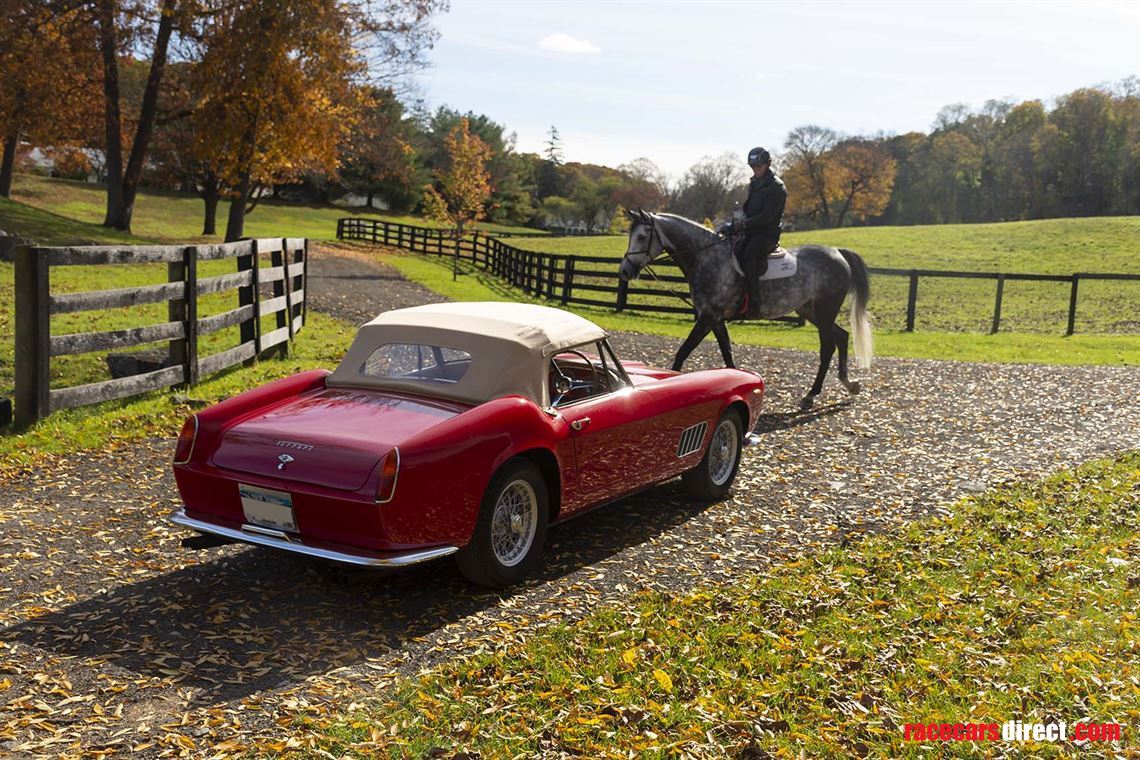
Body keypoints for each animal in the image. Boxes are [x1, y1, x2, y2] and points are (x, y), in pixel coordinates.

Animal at [615, 208, 870, 410]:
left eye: (641, 237)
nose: (625, 271)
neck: (707, 257)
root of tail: (837, 252)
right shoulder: (716, 319)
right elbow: (727, 354)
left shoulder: (707, 318)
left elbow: (682, 352)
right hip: (811, 311)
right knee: (842, 336)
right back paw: (849, 384)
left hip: (825, 311)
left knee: (828, 347)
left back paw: (811, 395)